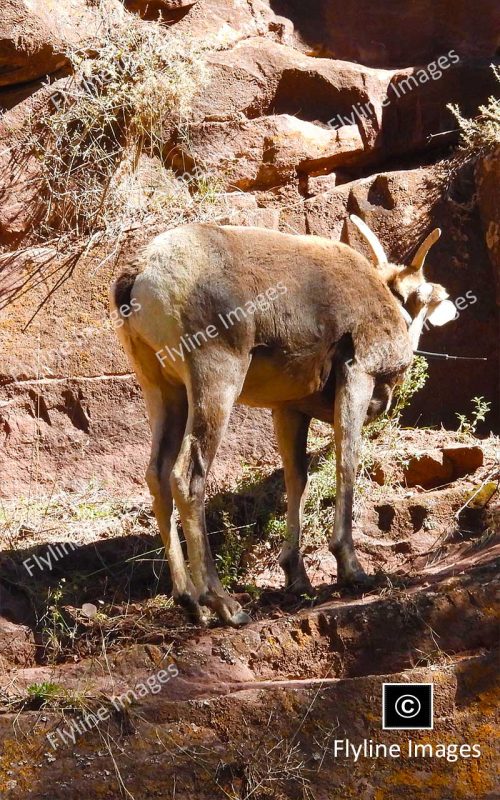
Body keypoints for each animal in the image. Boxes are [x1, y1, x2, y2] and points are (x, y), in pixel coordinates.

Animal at [111, 217, 456, 624]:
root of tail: (141, 275)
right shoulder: (357, 375)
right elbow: (346, 464)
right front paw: (353, 572)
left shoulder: (289, 409)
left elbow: (298, 480)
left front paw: (297, 579)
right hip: (215, 379)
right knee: (187, 476)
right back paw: (225, 605)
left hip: (163, 388)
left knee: (157, 474)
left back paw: (191, 604)